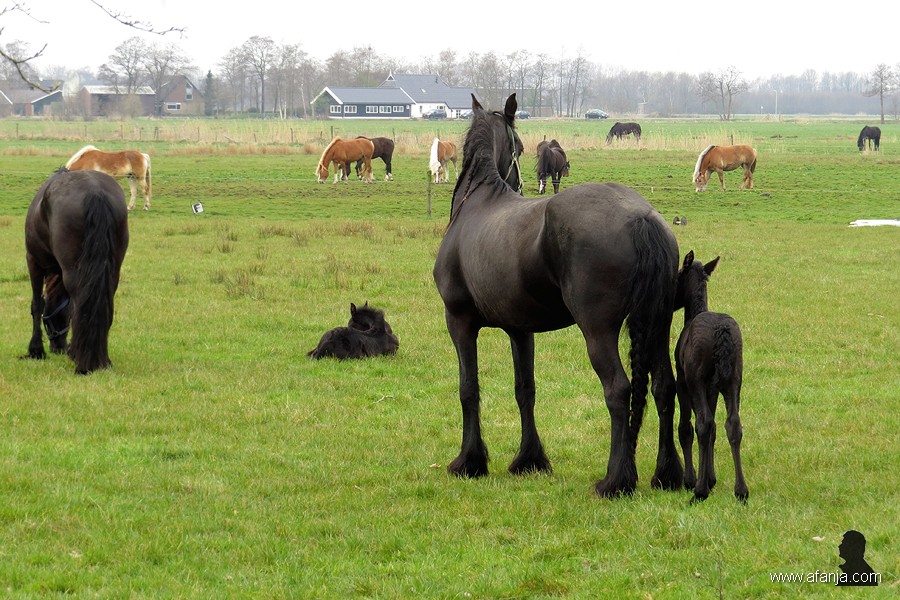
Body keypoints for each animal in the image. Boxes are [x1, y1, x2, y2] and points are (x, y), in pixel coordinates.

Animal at [23, 169, 129, 374]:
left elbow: (37, 305)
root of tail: (95, 192)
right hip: (112, 271)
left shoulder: (33, 261)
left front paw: (35, 350)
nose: (58, 347)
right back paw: (100, 360)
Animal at [433, 93, 682, 497]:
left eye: (519, 147)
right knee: (664, 387)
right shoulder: (520, 331)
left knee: (618, 390)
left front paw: (470, 461)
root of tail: (641, 216)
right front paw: (529, 459)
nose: (525, 183)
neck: (477, 201)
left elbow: (468, 388)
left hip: (598, 332)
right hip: (656, 324)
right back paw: (668, 474)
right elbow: (525, 389)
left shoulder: (459, 322)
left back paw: (616, 480)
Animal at [674, 251, 748, 504]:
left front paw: (693, 479)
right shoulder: (713, 387)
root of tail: (721, 332)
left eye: (678, 273)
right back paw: (741, 490)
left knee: (703, 423)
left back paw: (699, 491)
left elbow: (688, 427)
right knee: (732, 423)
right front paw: (711, 478)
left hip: (696, 379)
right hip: (734, 378)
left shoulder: (683, 381)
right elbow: (715, 428)